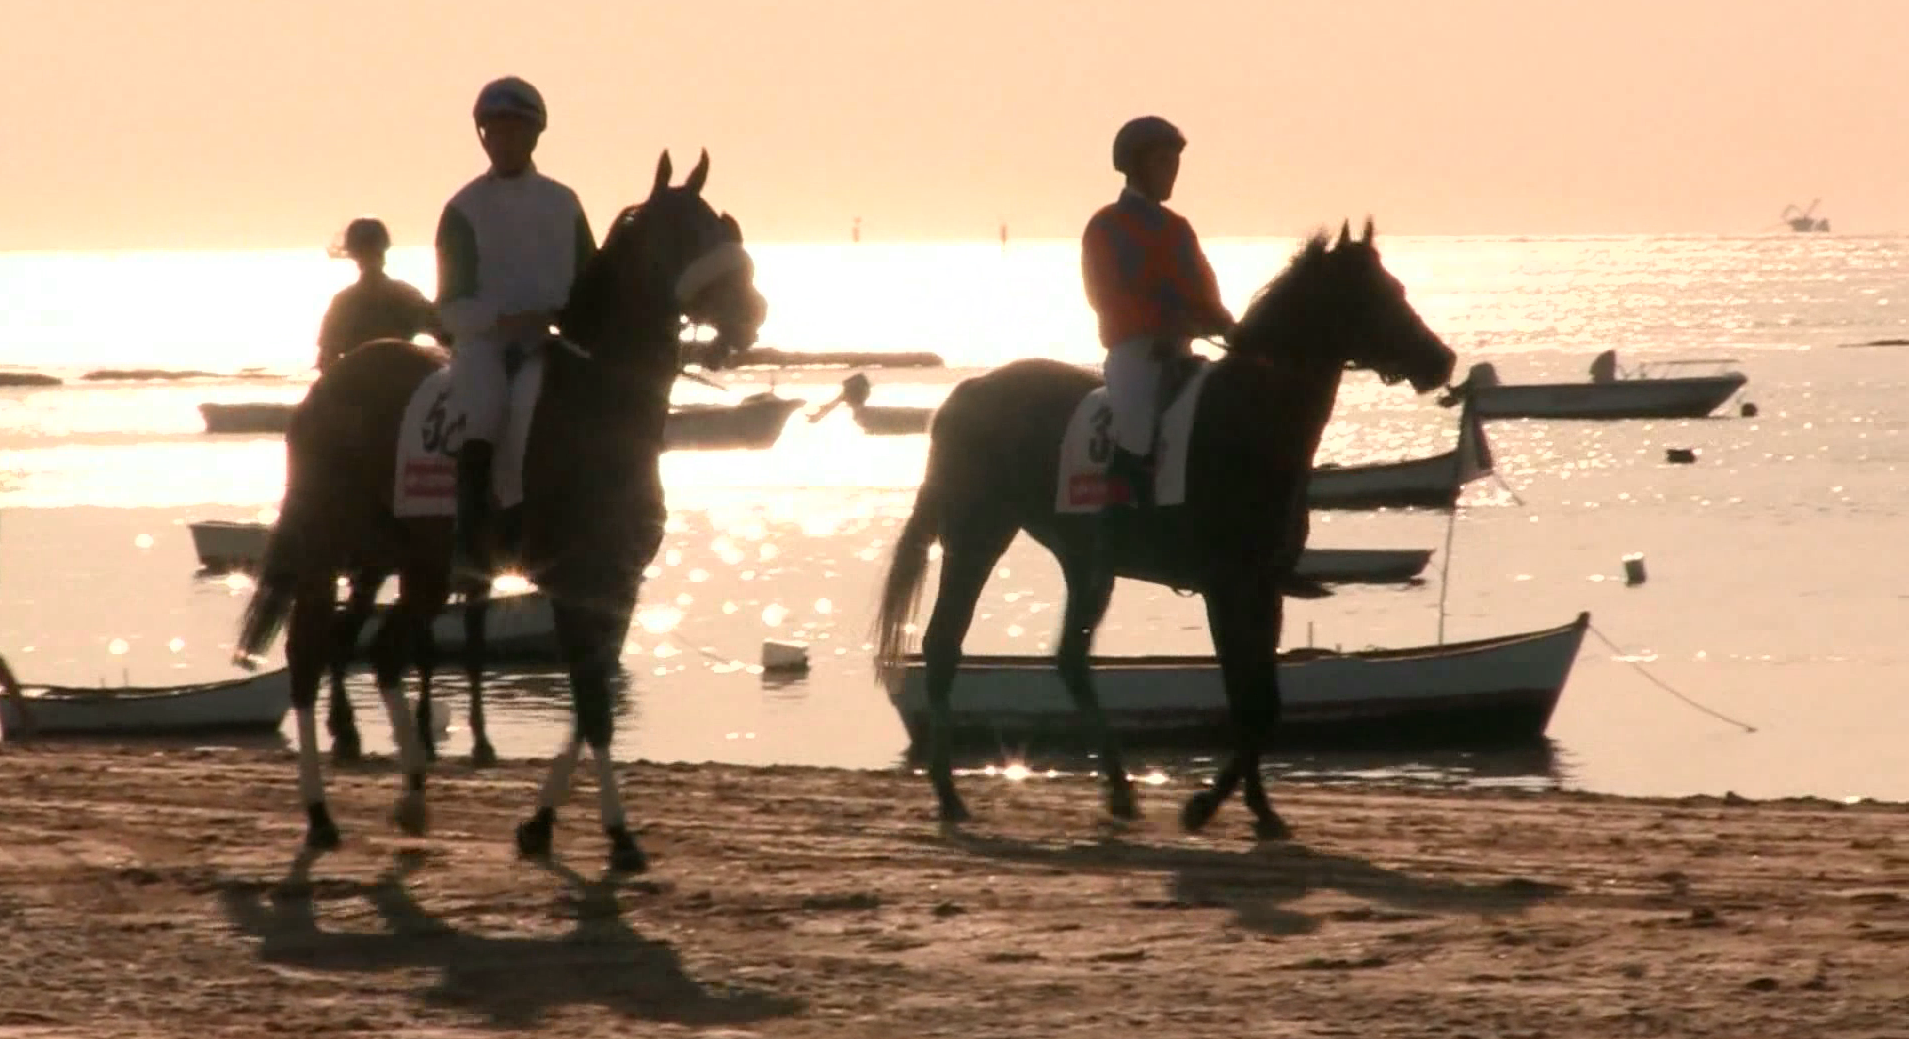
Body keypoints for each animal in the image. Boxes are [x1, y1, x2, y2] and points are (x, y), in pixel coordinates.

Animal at [234, 151, 771, 867]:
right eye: (684, 233)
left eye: (720, 223)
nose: (751, 311)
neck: (597, 405)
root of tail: (331, 383)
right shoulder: (575, 581)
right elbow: (593, 707)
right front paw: (618, 835)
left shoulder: (616, 584)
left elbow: (589, 703)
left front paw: (540, 824)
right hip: (329, 549)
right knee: (309, 656)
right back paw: (321, 814)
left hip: (413, 563)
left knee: (382, 652)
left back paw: (412, 794)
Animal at [878, 223, 1458, 840]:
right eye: (1378, 296)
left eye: (1396, 288)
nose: (1442, 360)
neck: (1250, 422)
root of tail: (967, 394)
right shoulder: (1226, 589)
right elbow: (1250, 701)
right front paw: (1206, 805)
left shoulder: (1264, 587)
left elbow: (1263, 700)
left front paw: (1258, 809)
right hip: (978, 535)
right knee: (944, 646)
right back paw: (950, 796)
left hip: (1085, 563)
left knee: (1070, 660)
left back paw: (1119, 791)